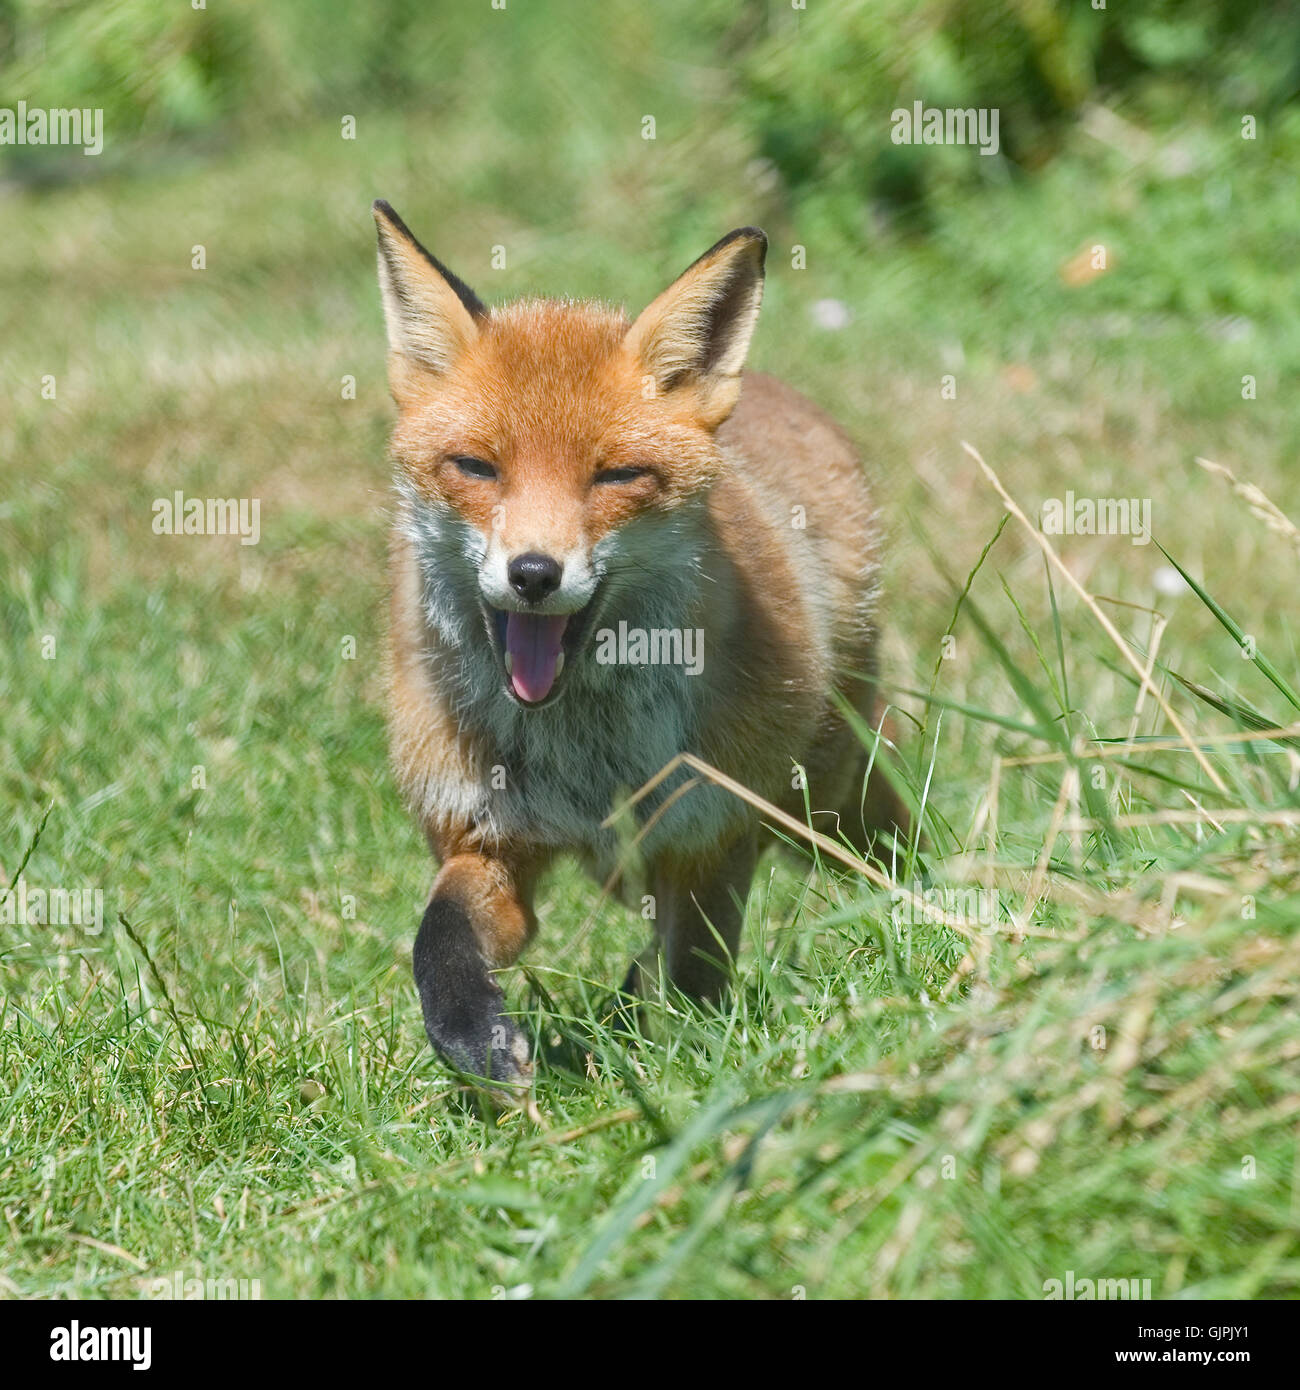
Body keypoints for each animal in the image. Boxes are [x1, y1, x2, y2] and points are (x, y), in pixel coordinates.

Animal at [372, 200, 911, 1089]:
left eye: (616, 476)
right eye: (477, 467)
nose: (533, 574)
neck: (585, 756)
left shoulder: (713, 833)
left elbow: (695, 974)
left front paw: (689, 1067)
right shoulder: (484, 838)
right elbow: (438, 942)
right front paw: (478, 1045)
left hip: (828, 796)